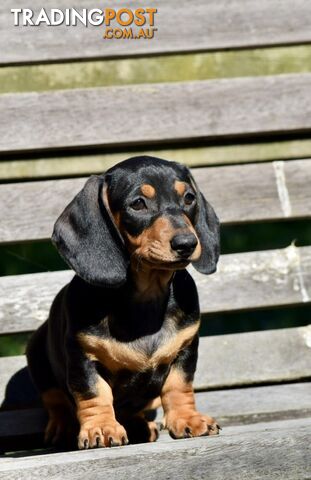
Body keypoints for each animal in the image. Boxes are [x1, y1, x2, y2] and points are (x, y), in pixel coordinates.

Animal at [27, 157, 222, 450]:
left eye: (189, 198)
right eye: (138, 203)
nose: (187, 243)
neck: (147, 296)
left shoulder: (186, 348)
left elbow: (179, 386)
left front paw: (188, 419)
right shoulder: (83, 357)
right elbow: (94, 393)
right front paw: (101, 428)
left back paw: (142, 426)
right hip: (37, 354)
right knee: (55, 400)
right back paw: (62, 426)